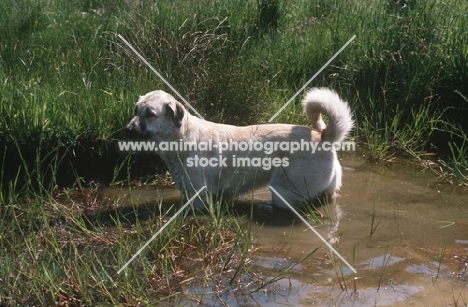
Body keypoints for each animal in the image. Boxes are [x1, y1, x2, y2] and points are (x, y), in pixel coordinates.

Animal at [126, 88, 352, 211]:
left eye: (150, 113)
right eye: (136, 110)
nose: (128, 129)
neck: (181, 136)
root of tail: (324, 138)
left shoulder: (199, 196)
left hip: (284, 192)